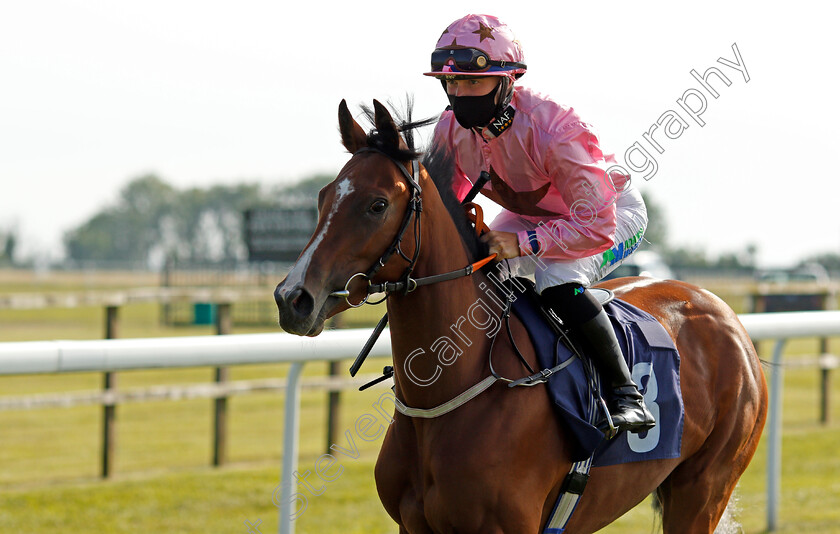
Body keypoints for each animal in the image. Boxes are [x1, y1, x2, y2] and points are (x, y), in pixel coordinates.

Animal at [276, 100, 768, 534]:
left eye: (377, 204)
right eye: (322, 197)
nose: (291, 299)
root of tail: (724, 314)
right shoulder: (413, 525)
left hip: (704, 487)